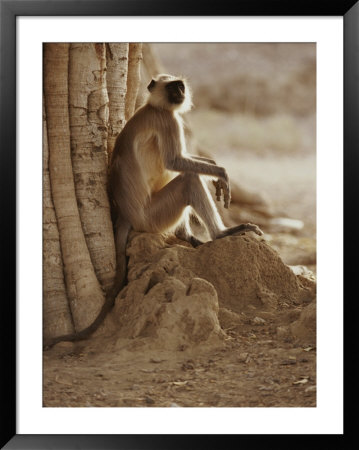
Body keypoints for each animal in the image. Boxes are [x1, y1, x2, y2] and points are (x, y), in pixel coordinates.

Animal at [44, 73, 262, 348]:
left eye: (180, 86)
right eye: (173, 88)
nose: (180, 93)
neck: (154, 106)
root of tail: (127, 215)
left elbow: (183, 162)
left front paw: (213, 165)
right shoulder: (167, 121)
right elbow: (175, 161)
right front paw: (221, 173)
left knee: (187, 178)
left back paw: (188, 237)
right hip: (153, 217)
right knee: (188, 179)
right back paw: (220, 234)